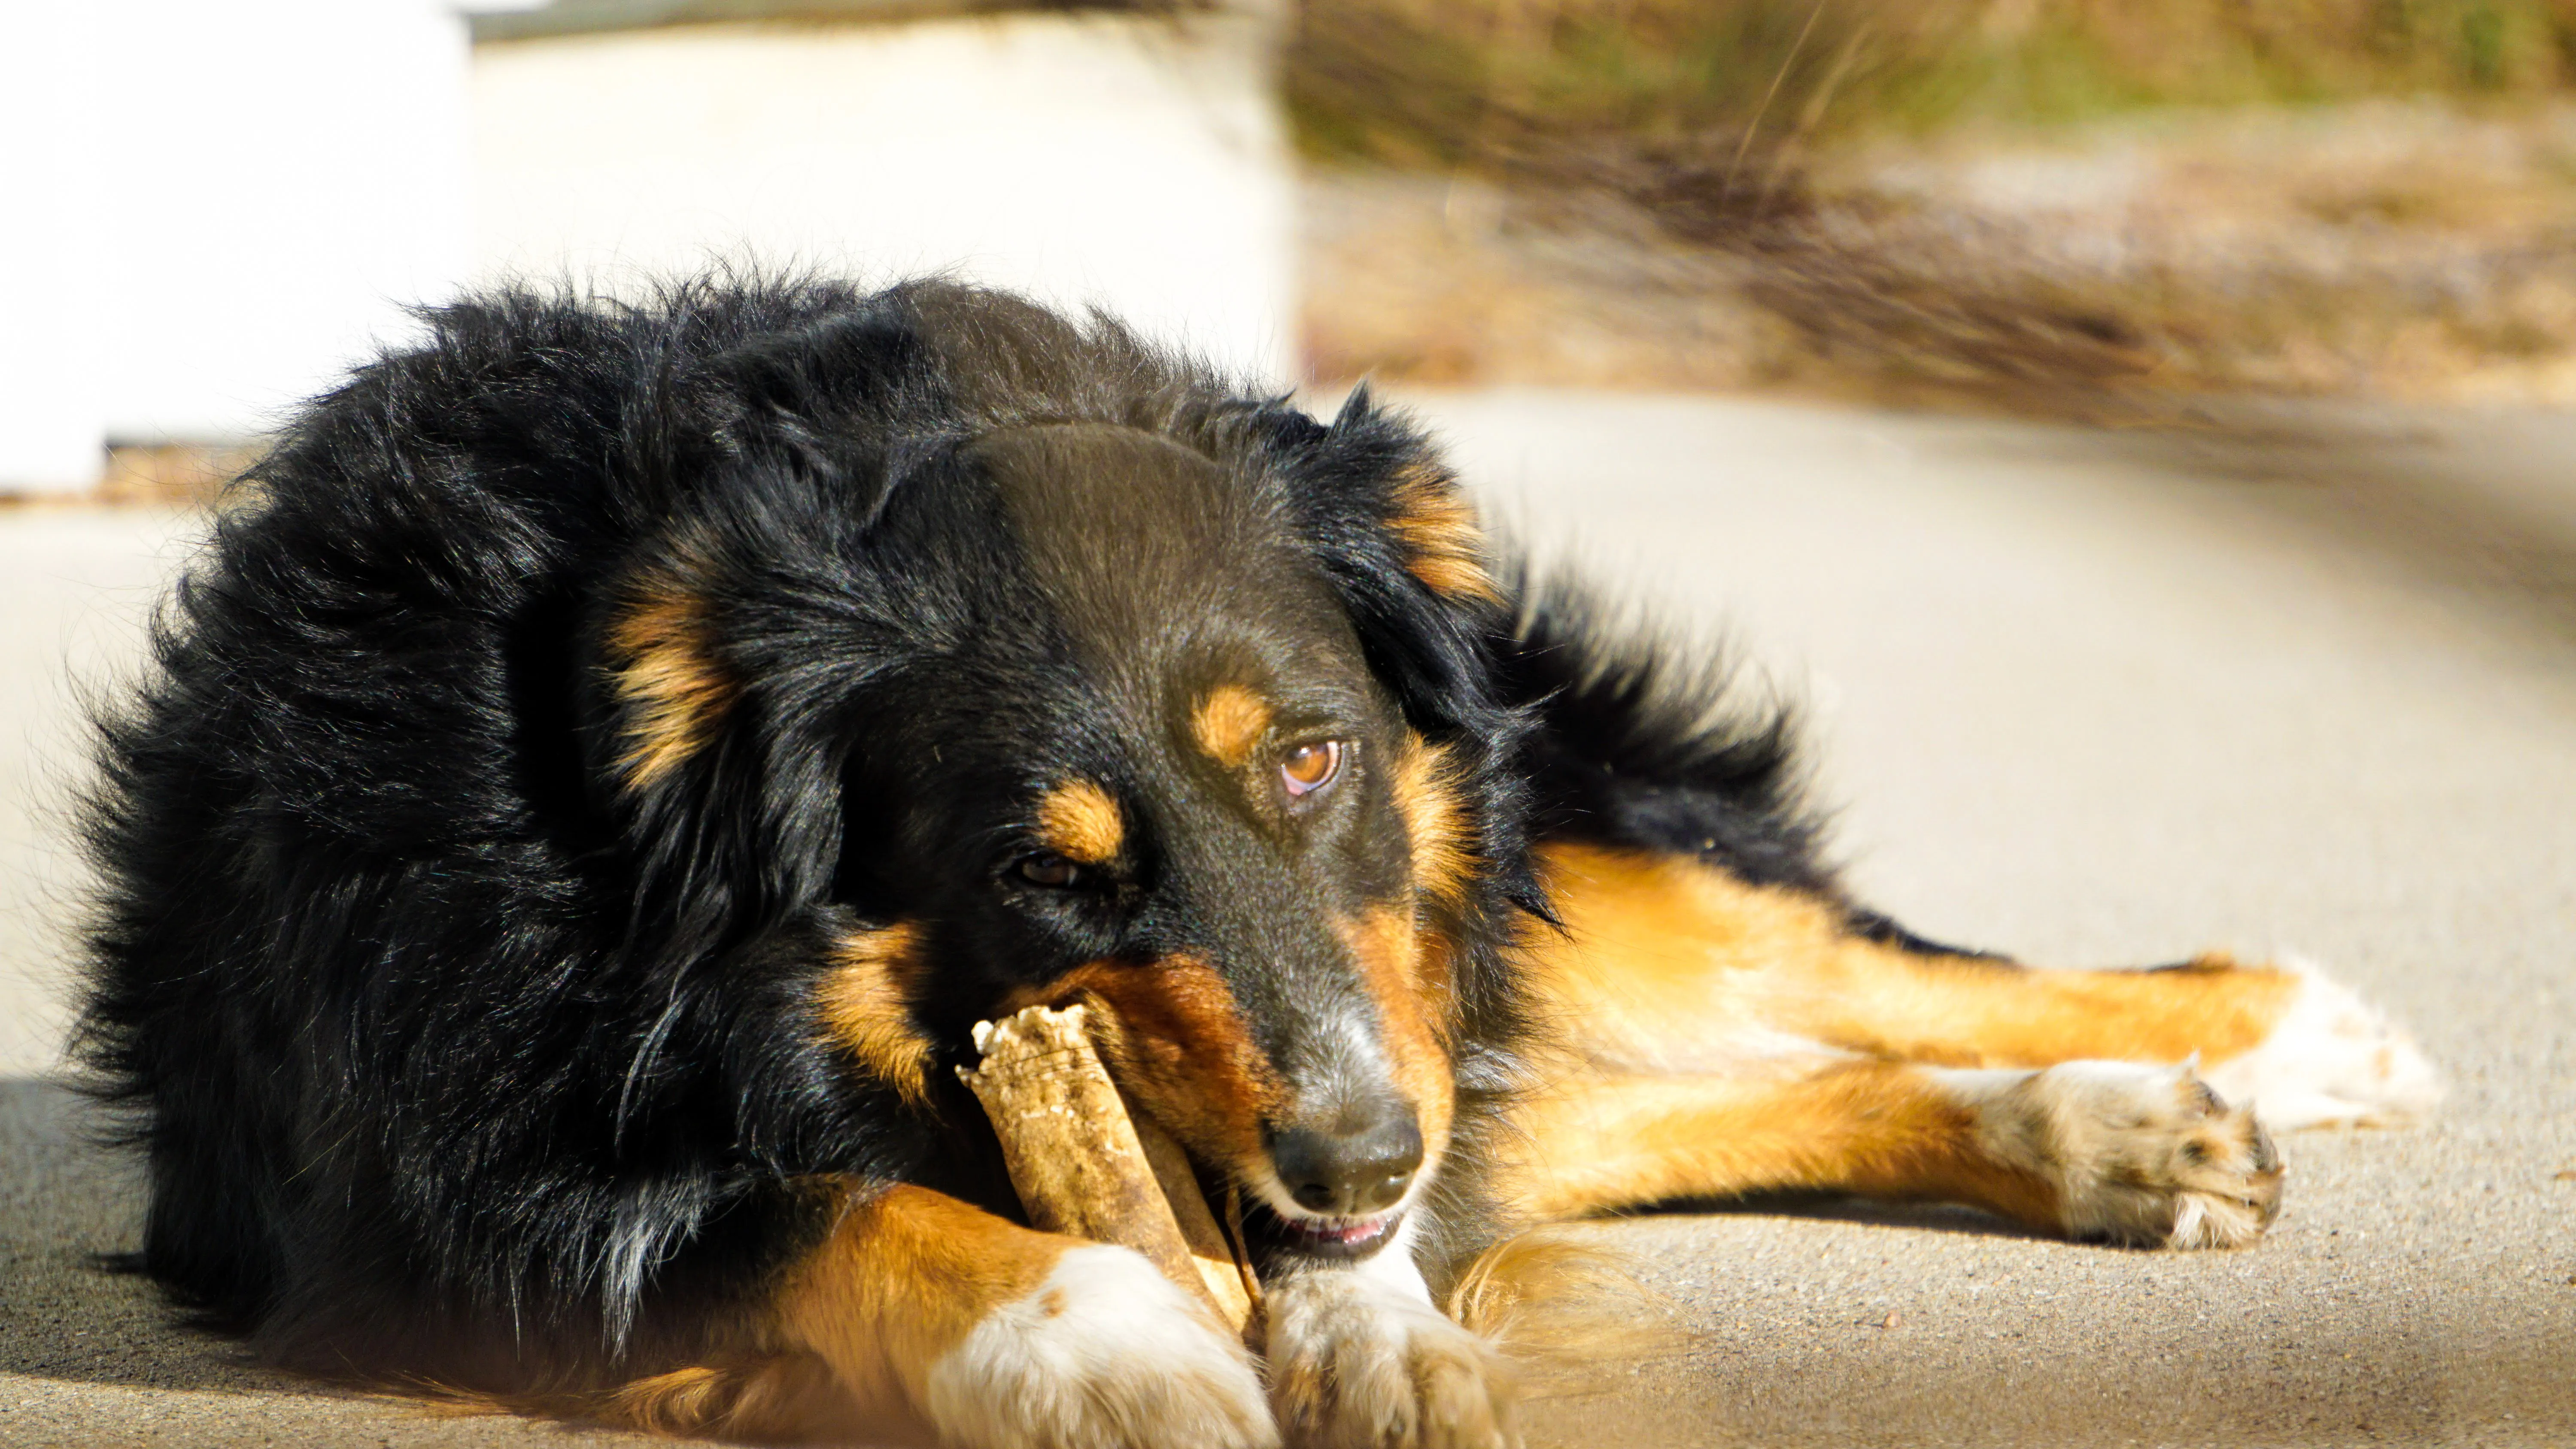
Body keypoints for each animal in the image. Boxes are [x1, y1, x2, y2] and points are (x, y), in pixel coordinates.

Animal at [80, 280, 2442, 1449]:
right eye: (1042, 869)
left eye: (1308, 758)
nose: (1355, 1163)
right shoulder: (425, 1168)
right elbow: (809, 1206)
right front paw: (1100, 1346)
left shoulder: (1380, 994)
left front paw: (1367, 1332)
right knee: (1665, 1088)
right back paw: (2117, 1127)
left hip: (1539, 813)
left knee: (1799, 964)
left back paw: (2249, 1049)